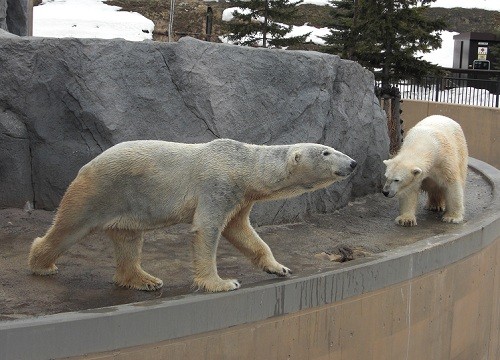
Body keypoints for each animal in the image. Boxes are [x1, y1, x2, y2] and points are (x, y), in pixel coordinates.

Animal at [29, 138, 358, 292]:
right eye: (326, 152)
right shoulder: (217, 184)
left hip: (128, 204)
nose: (353, 163)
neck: (243, 165)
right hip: (100, 190)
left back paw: (145, 280)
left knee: (128, 240)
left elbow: (242, 231)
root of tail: (87, 165)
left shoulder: (240, 197)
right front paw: (222, 283)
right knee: (68, 228)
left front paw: (279, 267)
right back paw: (42, 264)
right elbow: (207, 228)